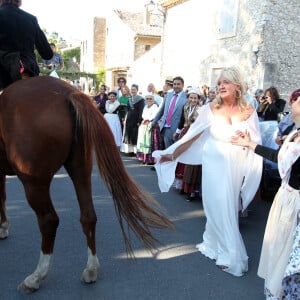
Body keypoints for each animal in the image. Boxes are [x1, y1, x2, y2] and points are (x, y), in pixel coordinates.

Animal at [0, 77, 173, 292]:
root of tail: (69, 93)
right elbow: (2, 196)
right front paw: (3, 227)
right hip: (80, 169)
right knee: (88, 217)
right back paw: (91, 270)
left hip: (34, 182)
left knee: (49, 220)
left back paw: (36, 277)